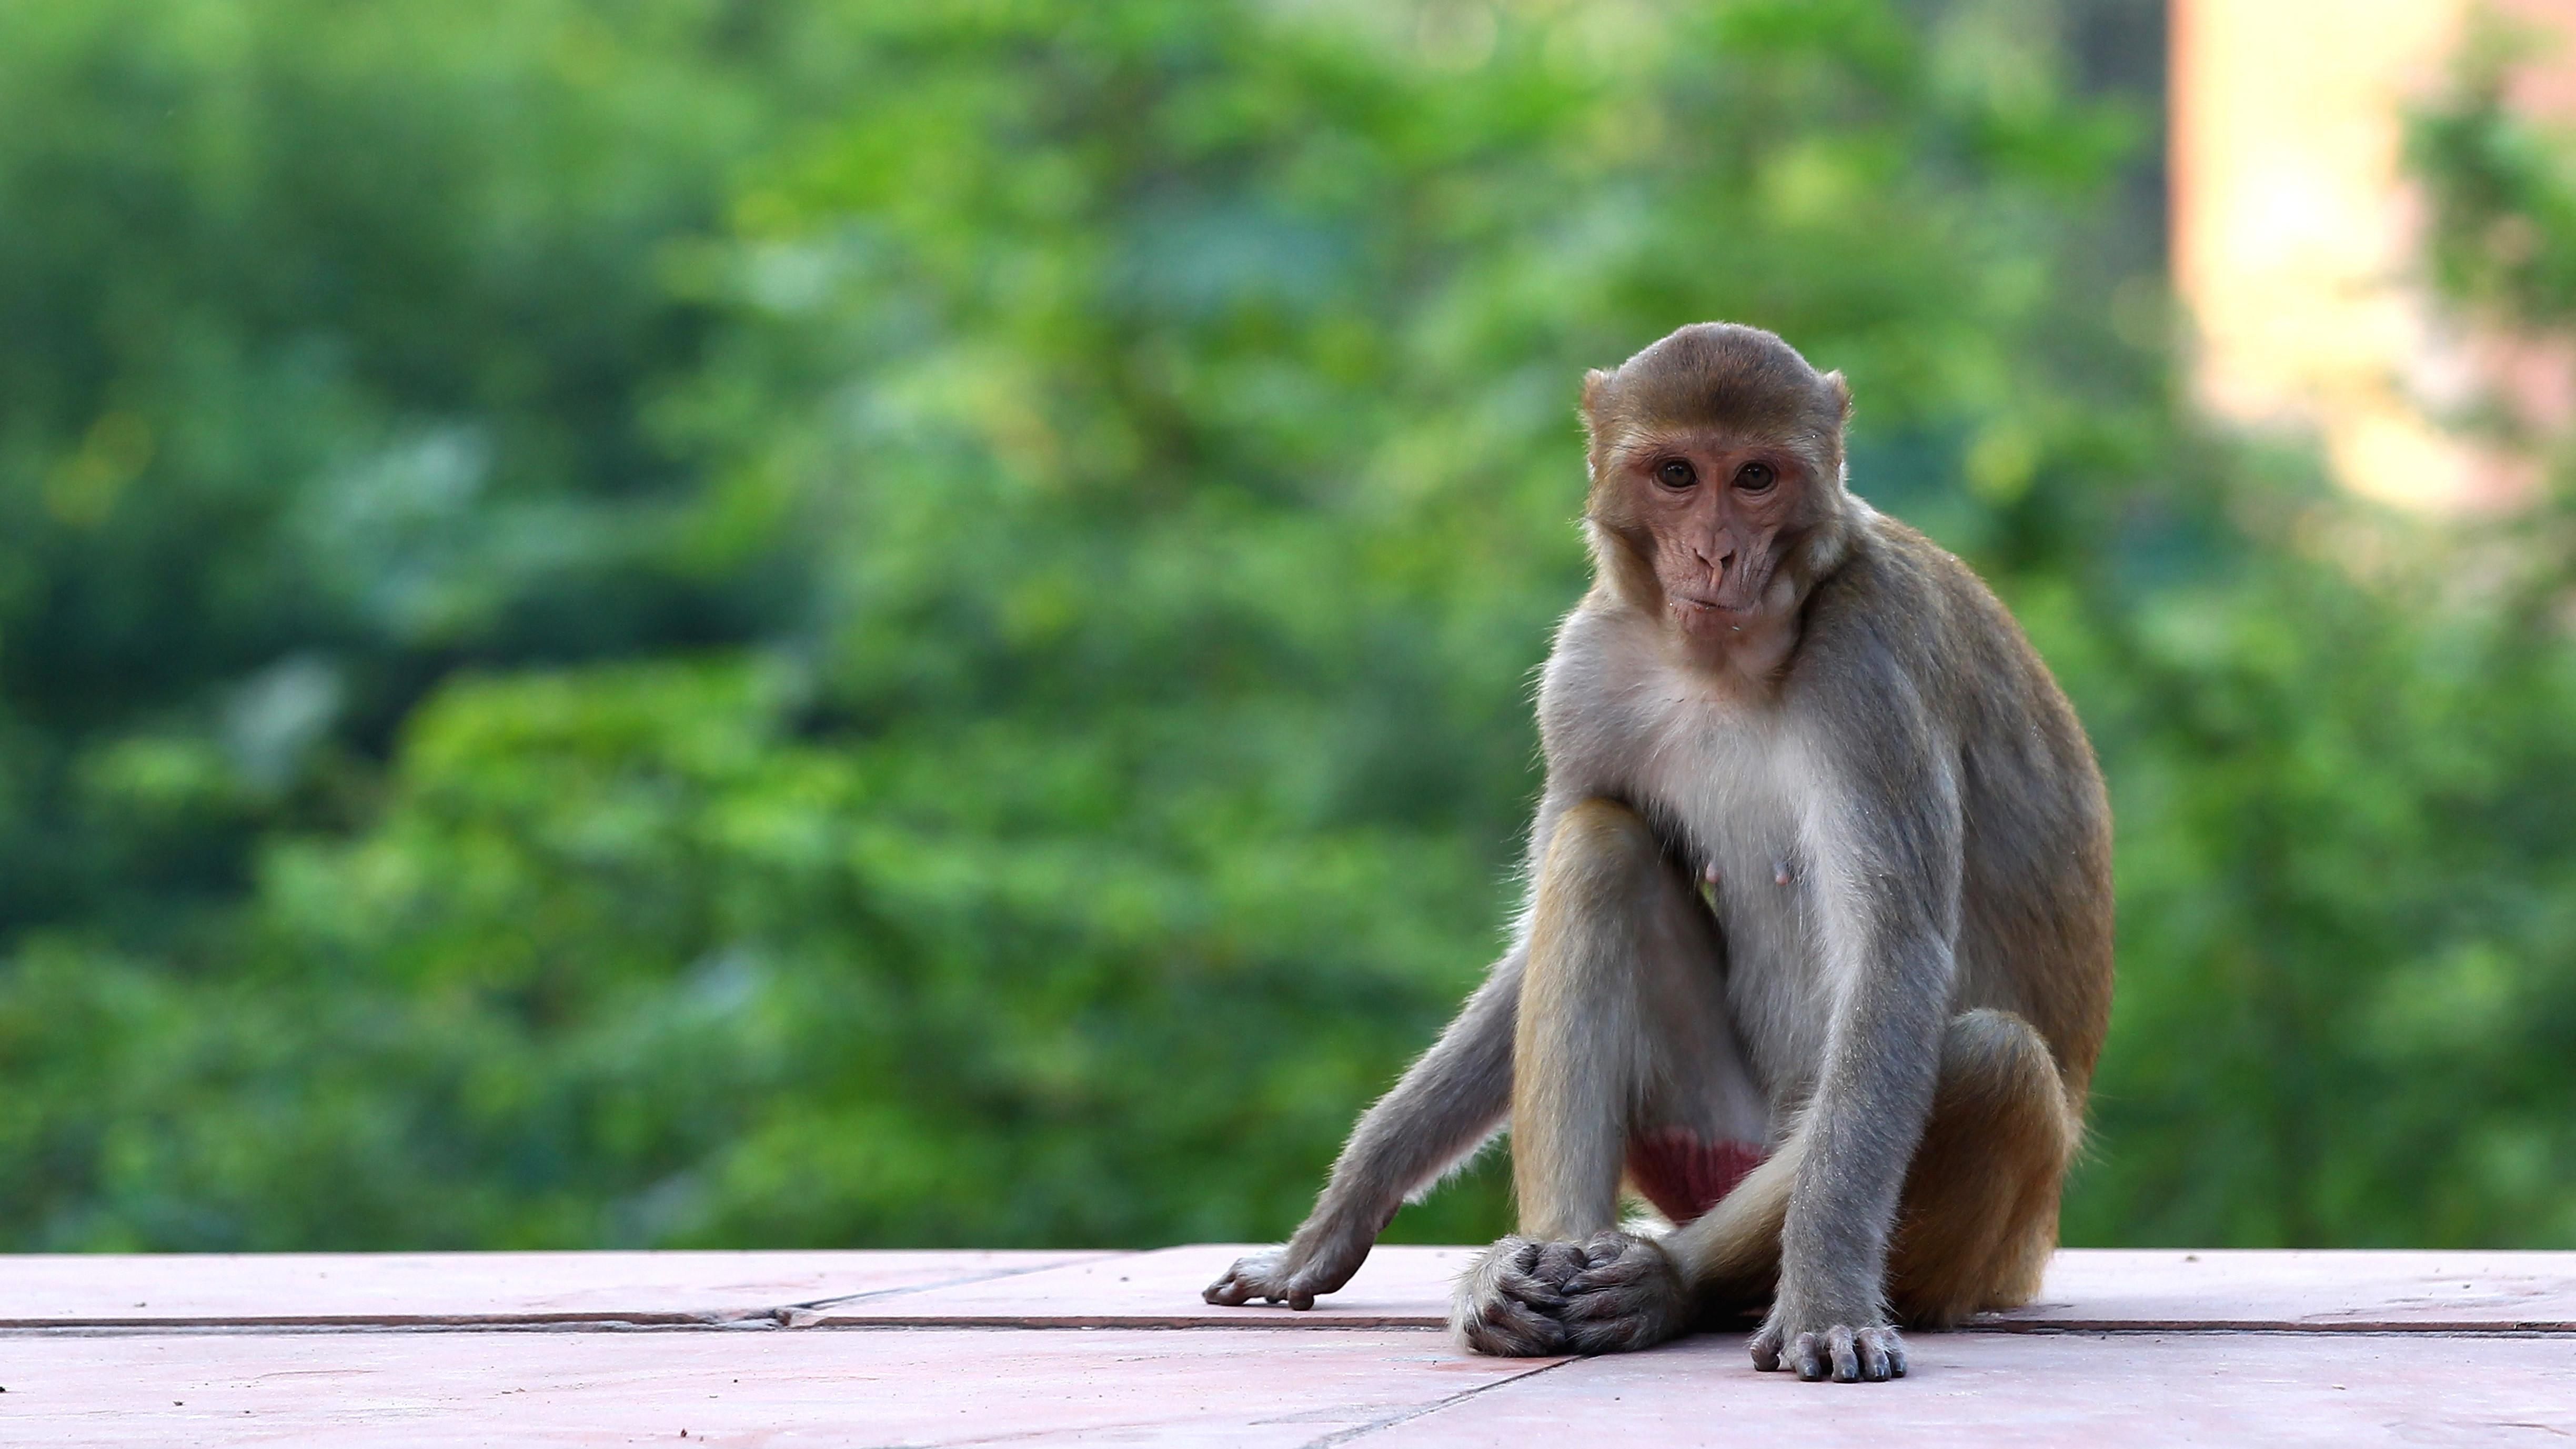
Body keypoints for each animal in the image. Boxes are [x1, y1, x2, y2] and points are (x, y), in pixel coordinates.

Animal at [1205, 321, 2112, 1382]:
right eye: (1677, 473)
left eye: (1756, 476)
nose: (1716, 552)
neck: (1729, 664)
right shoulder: (1587, 670)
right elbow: (1540, 928)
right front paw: (1337, 1214)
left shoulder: (1872, 657)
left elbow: (1893, 954)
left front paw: (1823, 1298)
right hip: (1706, 1135)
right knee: (1602, 845)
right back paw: (1542, 1259)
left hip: (1963, 1247)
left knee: (1986, 1058)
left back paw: (1668, 1282)